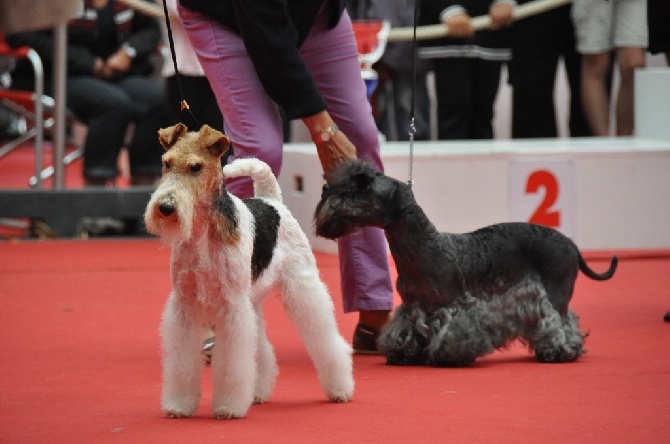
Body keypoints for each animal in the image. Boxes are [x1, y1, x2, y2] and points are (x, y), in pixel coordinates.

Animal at [316, 160, 620, 368]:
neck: (424, 247)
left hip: (555, 294)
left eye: (363, 185)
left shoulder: (455, 306)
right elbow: (405, 329)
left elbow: (455, 332)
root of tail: (571, 244)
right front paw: (403, 353)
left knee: (561, 321)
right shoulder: (413, 306)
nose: (325, 189)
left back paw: (559, 351)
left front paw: (451, 356)